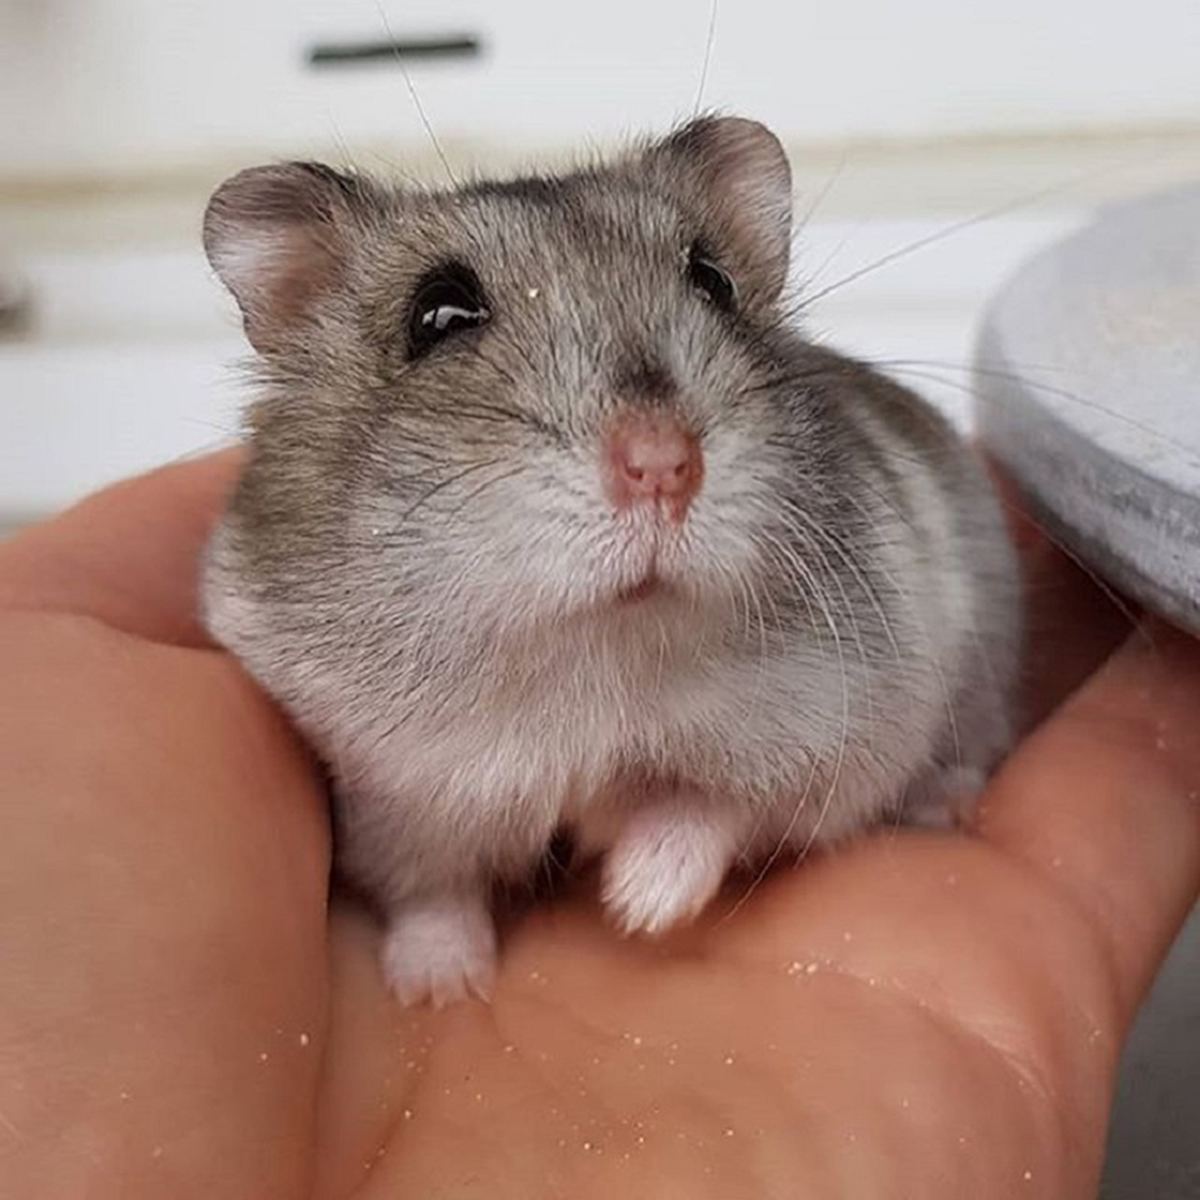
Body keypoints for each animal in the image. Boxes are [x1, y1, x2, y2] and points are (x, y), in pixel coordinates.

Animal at [200, 116, 1020, 1006]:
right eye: (438, 314)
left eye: (711, 279)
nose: (663, 466)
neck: (593, 646)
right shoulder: (391, 795)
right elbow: (430, 890)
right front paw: (439, 990)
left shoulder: (843, 733)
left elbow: (713, 803)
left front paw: (637, 903)